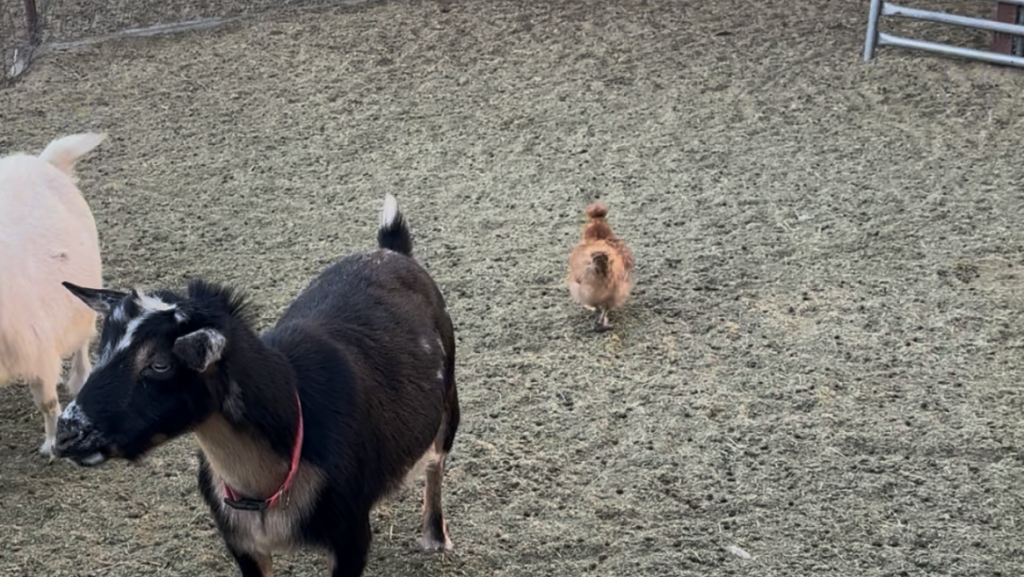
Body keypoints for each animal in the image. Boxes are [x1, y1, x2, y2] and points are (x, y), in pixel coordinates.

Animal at [0, 133, 107, 456]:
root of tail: (42, 161)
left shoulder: (37, 352)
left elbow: (46, 403)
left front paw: (51, 445)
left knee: (82, 339)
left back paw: (80, 378)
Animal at [54, 194, 460, 577]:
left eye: (159, 364)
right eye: (102, 347)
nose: (66, 434)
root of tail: (391, 250)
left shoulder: (350, 539)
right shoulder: (242, 542)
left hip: (448, 406)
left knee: (436, 463)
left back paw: (435, 537)